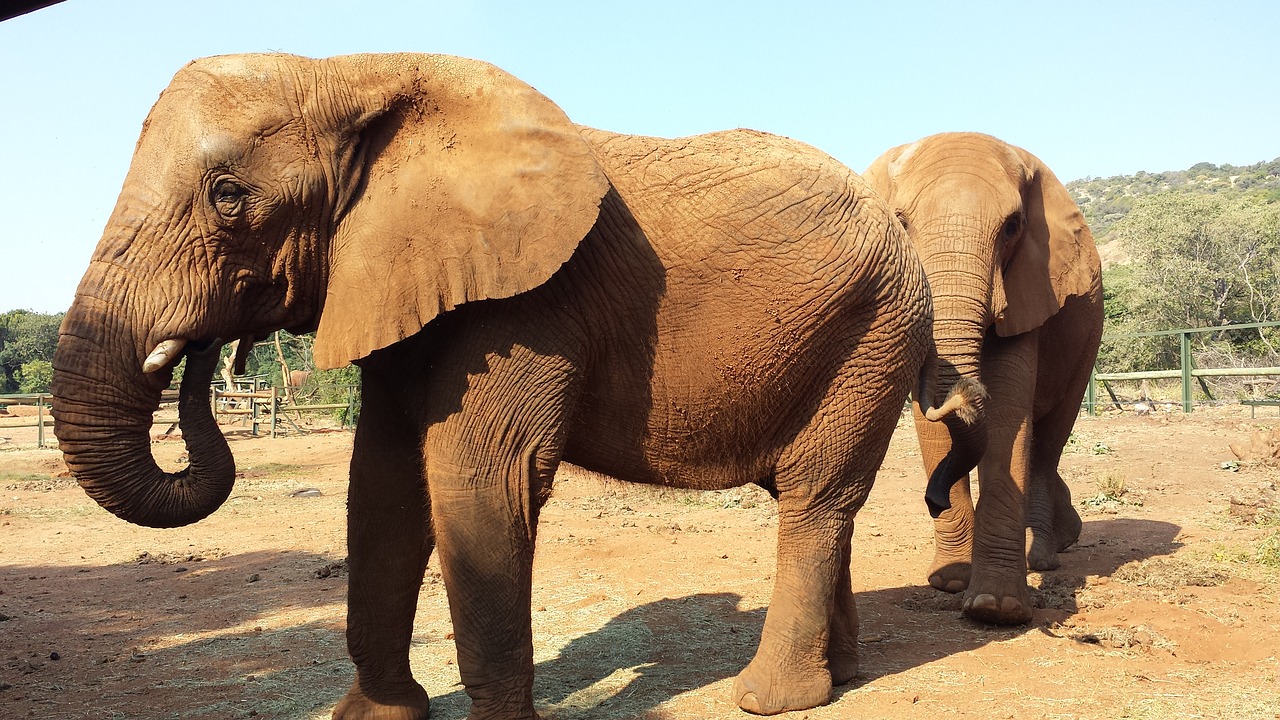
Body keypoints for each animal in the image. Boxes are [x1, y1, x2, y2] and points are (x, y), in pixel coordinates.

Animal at [47, 53, 977, 712]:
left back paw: (771, 699)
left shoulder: (529, 301)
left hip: (876, 331)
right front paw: (379, 717)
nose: (207, 352)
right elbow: (381, 483)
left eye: (228, 194)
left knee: (816, 496)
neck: (351, 72)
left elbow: (479, 480)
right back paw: (840, 677)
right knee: (817, 499)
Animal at [865, 133, 1105, 622]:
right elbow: (930, 424)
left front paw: (996, 608)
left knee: (1048, 441)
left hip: (1087, 342)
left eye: (1012, 226)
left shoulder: (1030, 288)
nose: (932, 501)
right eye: (901, 223)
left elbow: (1008, 417)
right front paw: (951, 580)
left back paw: (1043, 555)